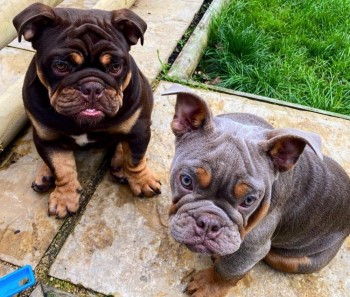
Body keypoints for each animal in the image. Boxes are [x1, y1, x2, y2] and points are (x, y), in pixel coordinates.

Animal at [163, 84, 350, 296]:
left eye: (249, 200)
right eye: (186, 180)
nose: (209, 223)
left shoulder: (252, 247)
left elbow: (228, 270)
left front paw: (209, 285)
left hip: (294, 260)